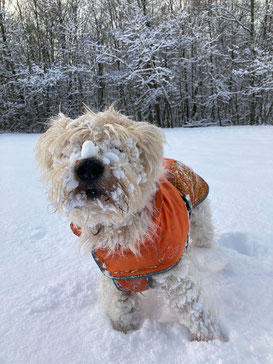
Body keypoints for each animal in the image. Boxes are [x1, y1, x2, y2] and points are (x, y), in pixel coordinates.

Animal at [35, 107, 220, 342]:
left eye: (118, 147)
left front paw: (212, 341)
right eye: (73, 146)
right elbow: (122, 314)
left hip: (200, 221)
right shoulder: (117, 282)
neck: (123, 231)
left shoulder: (175, 276)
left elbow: (195, 312)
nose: (88, 166)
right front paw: (124, 335)